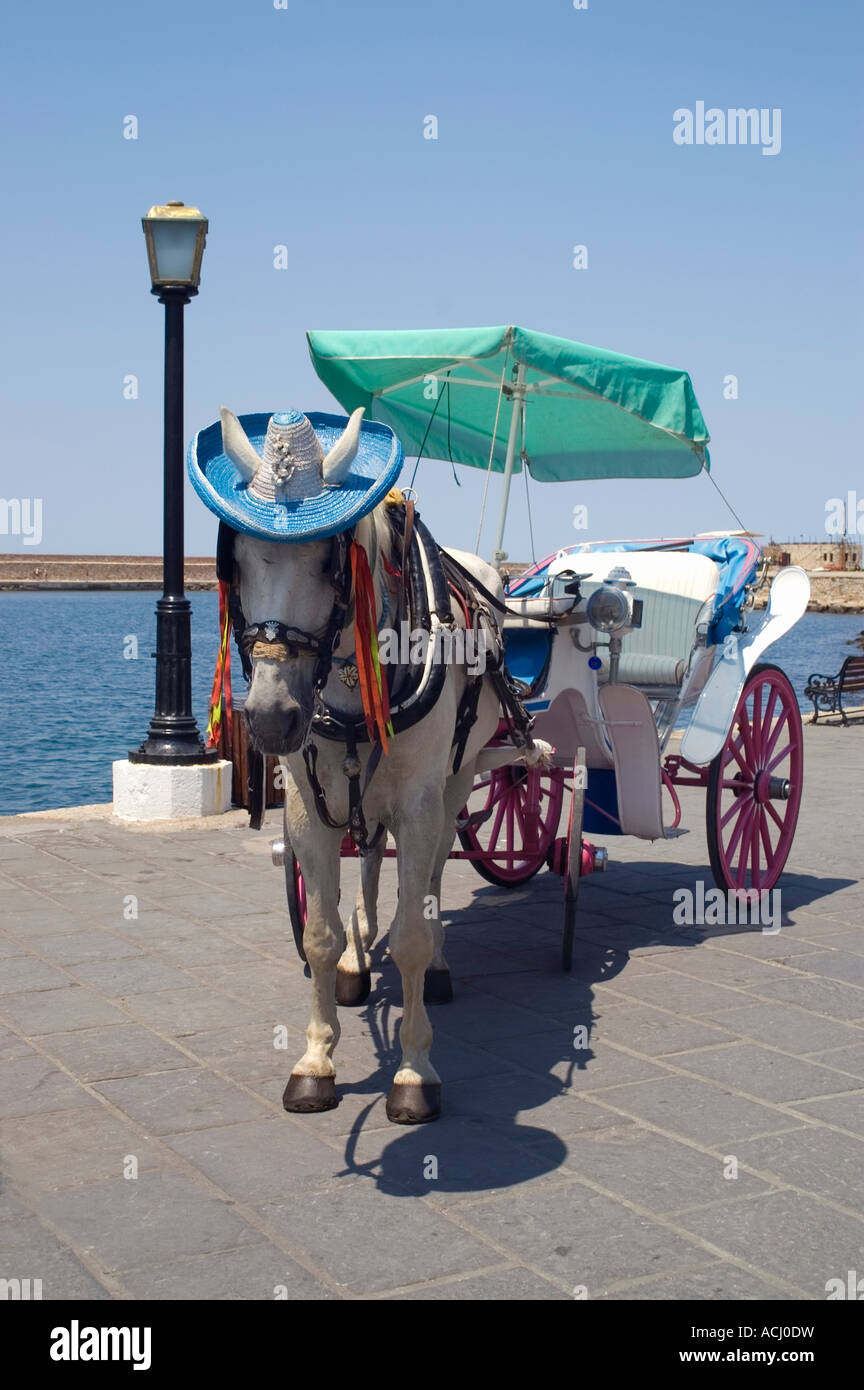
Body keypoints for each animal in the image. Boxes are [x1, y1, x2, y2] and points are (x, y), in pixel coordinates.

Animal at [231, 505, 541, 1123]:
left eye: (329, 565)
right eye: (237, 560)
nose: (271, 717)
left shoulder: (420, 802)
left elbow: (413, 937)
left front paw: (414, 1071)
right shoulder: (307, 808)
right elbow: (319, 936)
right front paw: (316, 1060)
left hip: (456, 780)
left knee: (436, 873)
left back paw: (437, 965)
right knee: (372, 854)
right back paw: (359, 954)